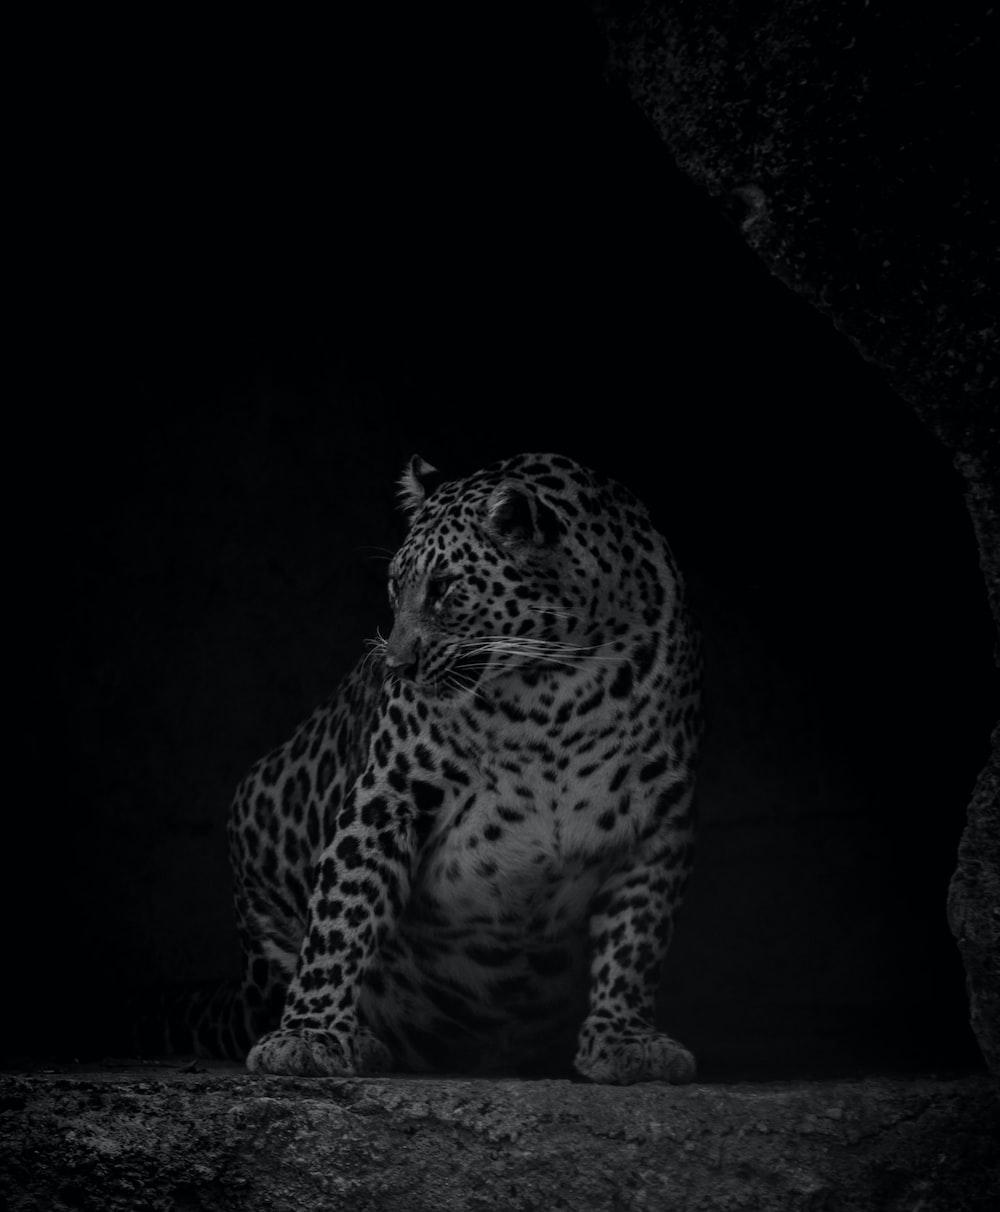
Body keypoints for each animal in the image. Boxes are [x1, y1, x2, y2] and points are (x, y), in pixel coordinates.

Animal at [191, 452, 701, 1084]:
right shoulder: (387, 795)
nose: (396, 665)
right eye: (396, 585)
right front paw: (307, 1035)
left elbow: (637, 938)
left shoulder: (658, 821)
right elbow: (341, 915)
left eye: (445, 588)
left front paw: (625, 1040)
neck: (555, 692)